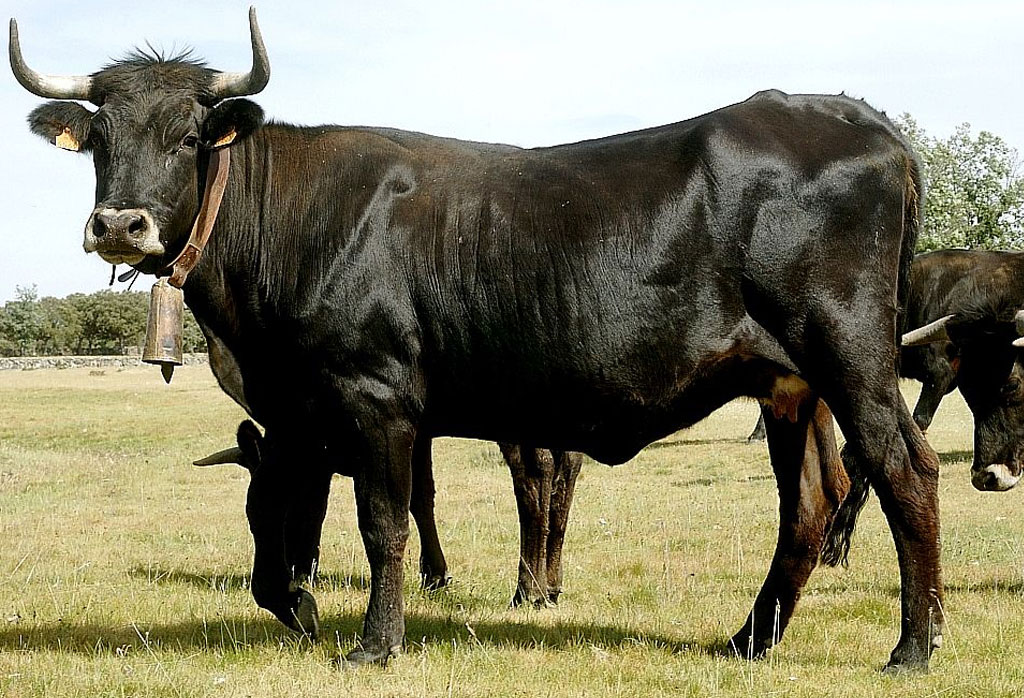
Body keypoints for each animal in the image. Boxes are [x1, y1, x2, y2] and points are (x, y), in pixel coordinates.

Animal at [10, 9, 943, 670]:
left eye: (187, 136)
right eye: (98, 140)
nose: (119, 224)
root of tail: (861, 120)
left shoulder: (375, 399)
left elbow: (381, 523)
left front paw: (373, 644)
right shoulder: (299, 414)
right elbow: (281, 522)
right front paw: (302, 609)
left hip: (848, 353)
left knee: (904, 468)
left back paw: (912, 646)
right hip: (789, 383)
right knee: (811, 500)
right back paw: (751, 639)